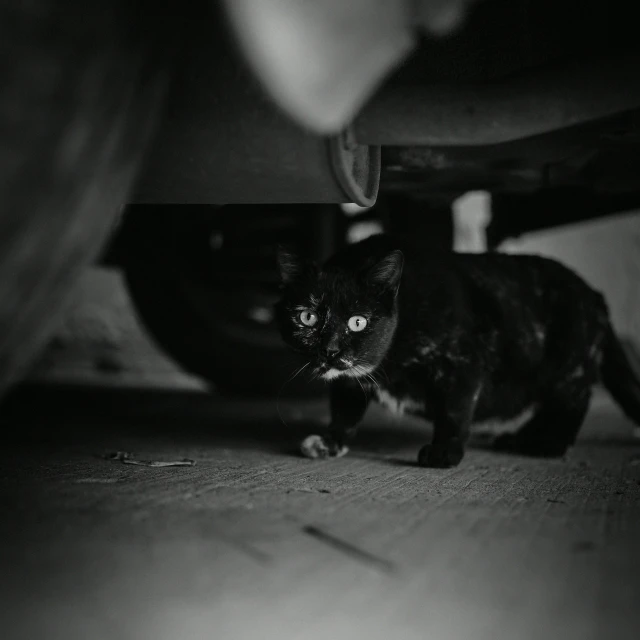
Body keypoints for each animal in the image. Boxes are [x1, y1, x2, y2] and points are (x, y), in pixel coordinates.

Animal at [274, 232, 640, 468]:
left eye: (358, 322)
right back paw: (518, 438)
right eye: (307, 317)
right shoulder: (350, 382)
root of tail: (594, 294)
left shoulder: (462, 363)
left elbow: (454, 410)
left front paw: (444, 452)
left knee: (572, 403)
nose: (331, 350)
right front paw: (330, 441)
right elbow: (344, 412)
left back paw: (544, 445)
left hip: (568, 364)